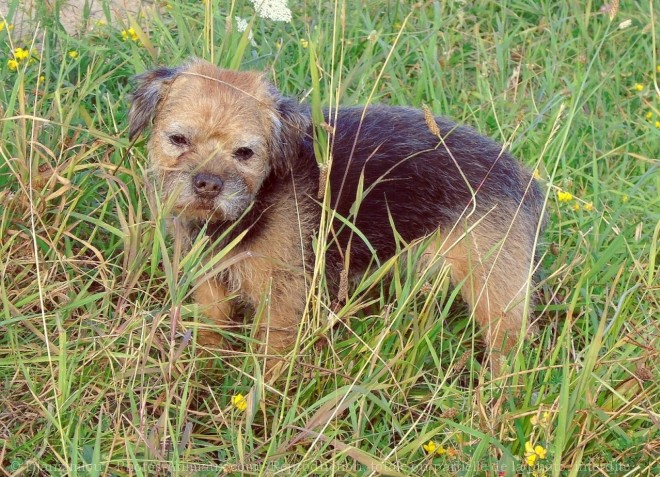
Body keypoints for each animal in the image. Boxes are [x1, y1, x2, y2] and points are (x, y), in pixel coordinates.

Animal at [129, 59, 548, 370]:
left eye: (245, 153)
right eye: (178, 140)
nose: (207, 184)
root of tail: (523, 177)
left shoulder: (283, 300)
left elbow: (271, 357)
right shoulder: (209, 283)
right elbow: (212, 331)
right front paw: (204, 369)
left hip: (495, 292)